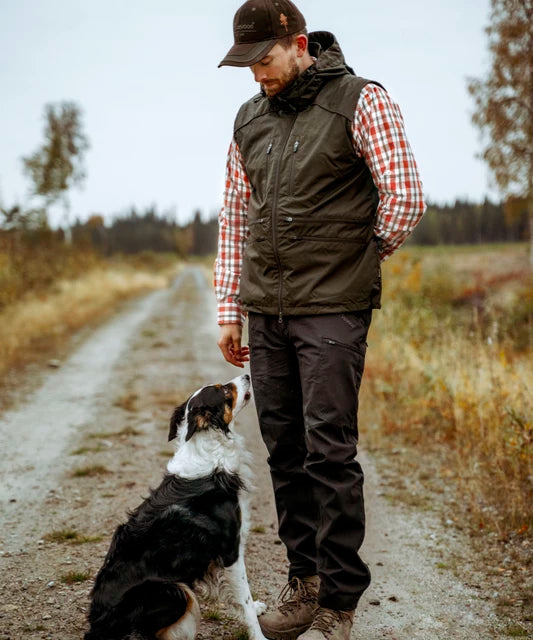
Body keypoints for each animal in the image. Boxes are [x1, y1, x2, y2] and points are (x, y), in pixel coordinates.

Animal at [84, 376, 266, 640]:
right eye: (223, 390)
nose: (247, 376)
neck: (210, 450)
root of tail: (96, 627)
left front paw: (257, 607)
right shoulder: (230, 550)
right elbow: (244, 599)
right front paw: (258, 634)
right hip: (174, 590)